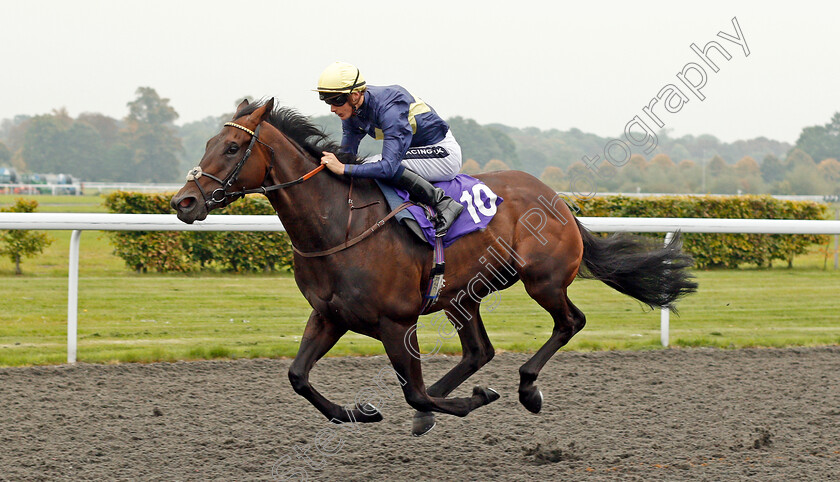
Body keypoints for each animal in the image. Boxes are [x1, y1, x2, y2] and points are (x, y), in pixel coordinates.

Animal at [171, 99, 696, 436]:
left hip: (542, 282)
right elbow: (299, 376)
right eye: (208, 142)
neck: (336, 224)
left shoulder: (397, 321)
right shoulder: (329, 315)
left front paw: (475, 400)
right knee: (479, 351)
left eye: (232, 149)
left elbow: (415, 392)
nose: (184, 202)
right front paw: (358, 413)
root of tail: (557, 199)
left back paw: (528, 389)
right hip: (462, 295)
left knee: (571, 321)